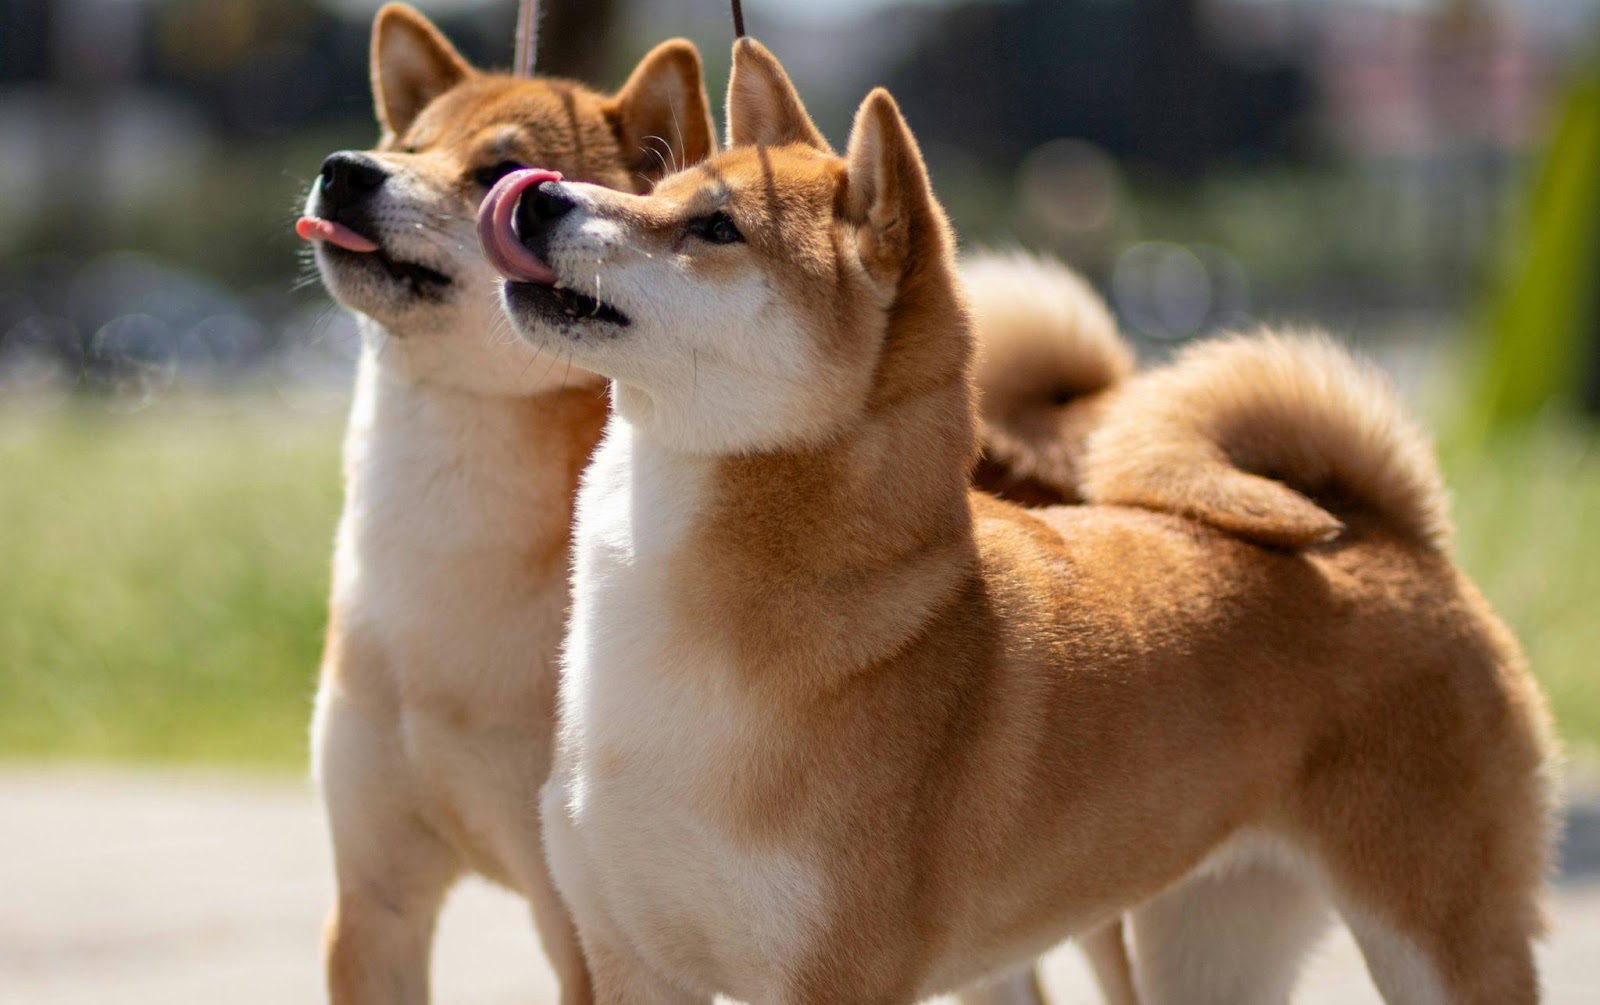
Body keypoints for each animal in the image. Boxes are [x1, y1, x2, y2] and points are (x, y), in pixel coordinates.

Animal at [483, 39, 1548, 1005]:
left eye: (714, 226)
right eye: (662, 189)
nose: (540, 197)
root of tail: (1396, 541)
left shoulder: (836, 976)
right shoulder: (628, 957)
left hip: (1437, 939)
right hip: (1209, 941)